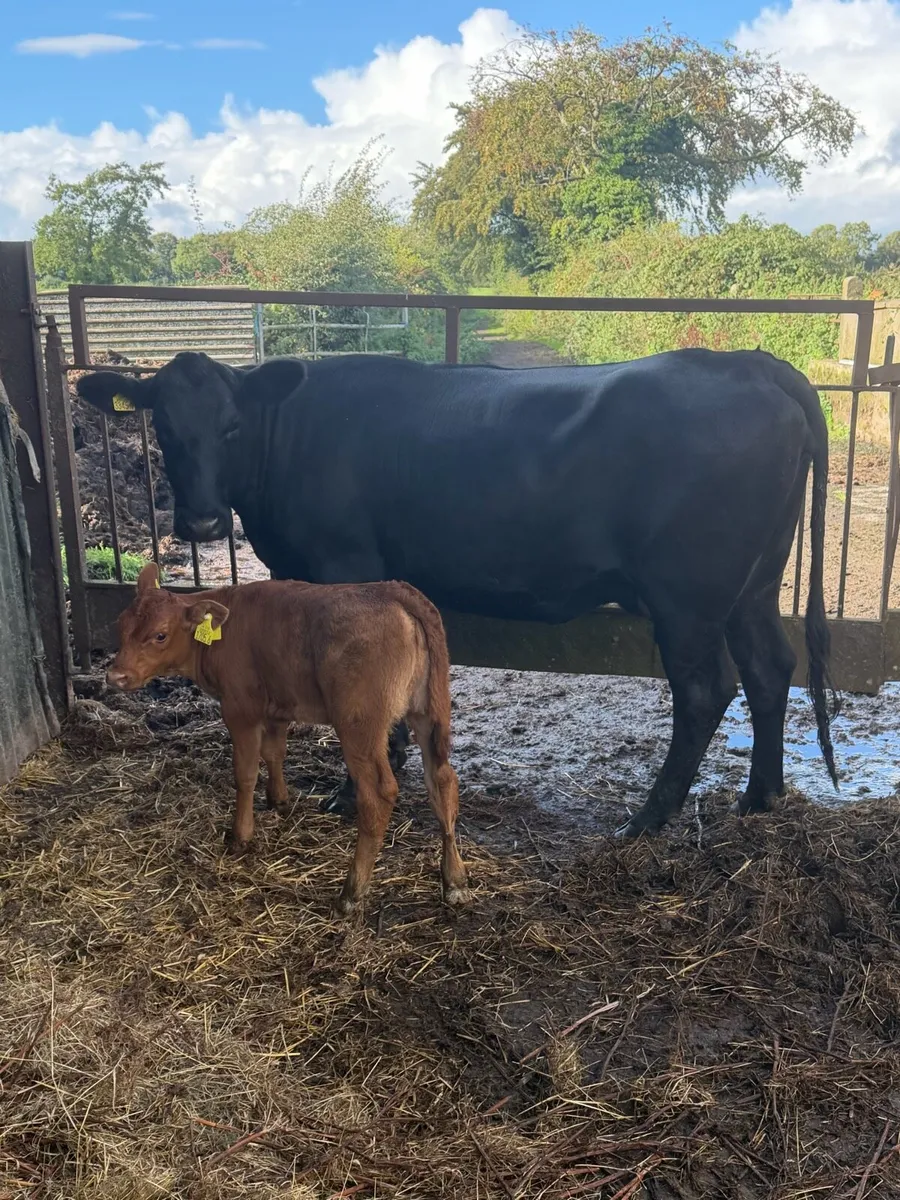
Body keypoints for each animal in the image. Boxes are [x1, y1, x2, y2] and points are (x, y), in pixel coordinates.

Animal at [78, 347, 839, 838]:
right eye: (163, 427)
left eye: (232, 426)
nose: (203, 521)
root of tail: (748, 361)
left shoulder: (344, 563)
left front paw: (352, 789)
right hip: (753, 584)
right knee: (770, 668)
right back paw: (760, 797)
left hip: (688, 596)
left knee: (707, 690)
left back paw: (647, 819)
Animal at [105, 563, 469, 914]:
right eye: (120, 625)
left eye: (160, 635)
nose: (115, 676)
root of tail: (393, 590)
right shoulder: (277, 708)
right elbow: (274, 752)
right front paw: (279, 801)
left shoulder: (240, 709)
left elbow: (245, 773)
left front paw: (241, 836)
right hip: (427, 712)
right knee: (442, 780)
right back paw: (454, 879)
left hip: (359, 724)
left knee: (378, 794)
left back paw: (351, 892)